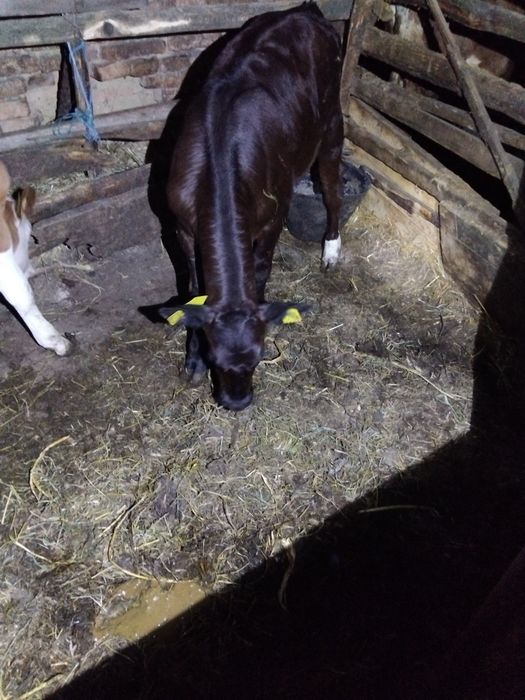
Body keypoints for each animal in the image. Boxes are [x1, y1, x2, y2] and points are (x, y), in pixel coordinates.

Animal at [162, 3, 344, 411]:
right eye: (214, 356)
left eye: (261, 353)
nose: (237, 402)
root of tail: (306, 11)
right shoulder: (181, 227)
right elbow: (191, 288)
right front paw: (191, 362)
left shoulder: (273, 218)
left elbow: (260, 271)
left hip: (332, 125)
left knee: (333, 188)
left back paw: (332, 250)